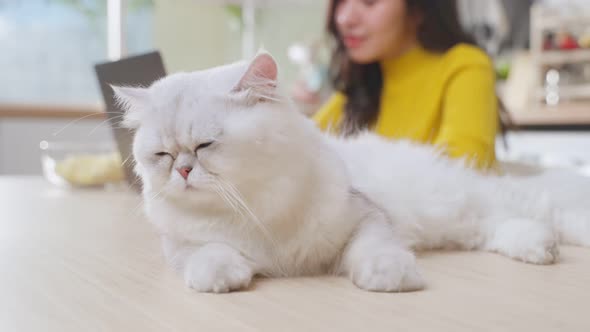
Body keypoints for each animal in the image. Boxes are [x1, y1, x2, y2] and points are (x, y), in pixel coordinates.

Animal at [113, 52, 588, 294]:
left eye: (204, 146)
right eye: (162, 155)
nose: (183, 171)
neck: (252, 209)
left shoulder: (365, 216)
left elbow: (373, 249)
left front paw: (388, 277)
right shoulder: (181, 246)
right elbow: (208, 255)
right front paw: (226, 277)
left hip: (464, 204)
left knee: (539, 208)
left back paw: (550, 242)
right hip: (458, 223)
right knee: (498, 227)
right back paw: (537, 247)